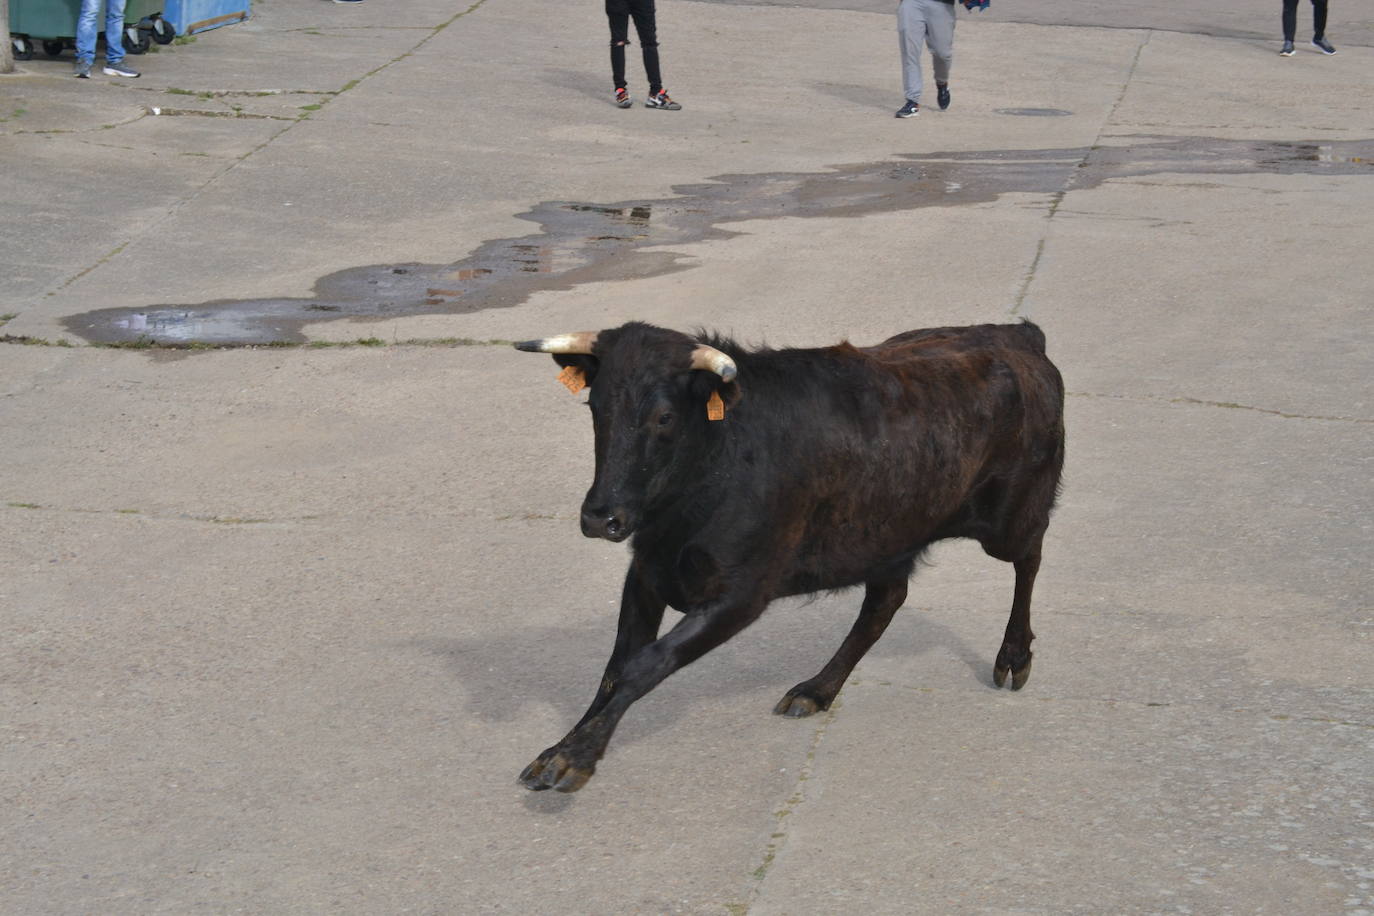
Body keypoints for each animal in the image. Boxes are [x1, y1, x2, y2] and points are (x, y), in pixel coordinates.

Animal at [516, 321, 1060, 791]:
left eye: (664, 417)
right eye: (595, 407)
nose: (601, 518)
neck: (714, 463)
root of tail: (1018, 334)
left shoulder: (741, 594)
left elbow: (644, 664)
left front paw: (574, 758)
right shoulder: (647, 573)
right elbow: (615, 667)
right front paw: (562, 749)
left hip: (1011, 518)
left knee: (1030, 558)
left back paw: (1014, 656)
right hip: (888, 536)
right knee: (885, 602)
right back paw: (817, 690)